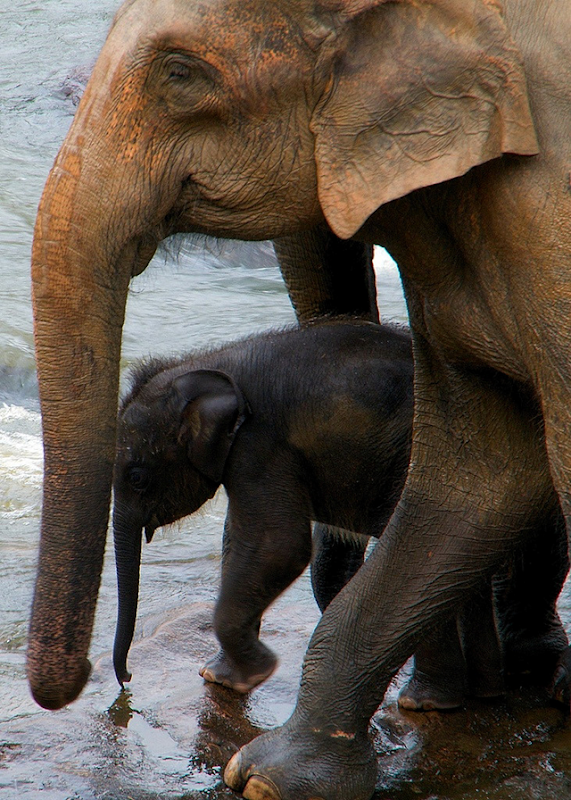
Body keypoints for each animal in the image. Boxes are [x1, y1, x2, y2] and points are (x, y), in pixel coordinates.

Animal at [113, 318, 568, 708]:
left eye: (136, 477)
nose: (128, 679)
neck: (212, 362)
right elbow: (242, 542)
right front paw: (220, 676)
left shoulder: (260, 446)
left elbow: (277, 545)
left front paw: (248, 675)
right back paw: (482, 693)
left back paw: (424, 702)